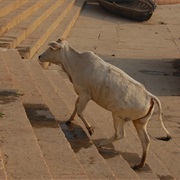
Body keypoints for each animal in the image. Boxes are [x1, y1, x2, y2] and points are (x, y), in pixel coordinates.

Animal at [38, 38, 172, 169]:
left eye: (51, 48)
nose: (39, 56)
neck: (75, 62)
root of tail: (149, 96)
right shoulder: (81, 95)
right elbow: (76, 106)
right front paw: (69, 120)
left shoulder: (85, 94)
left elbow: (80, 110)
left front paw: (90, 129)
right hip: (140, 122)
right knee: (145, 141)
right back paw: (140, 164)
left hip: (118, 116)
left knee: (120, 134)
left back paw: (100, 143)